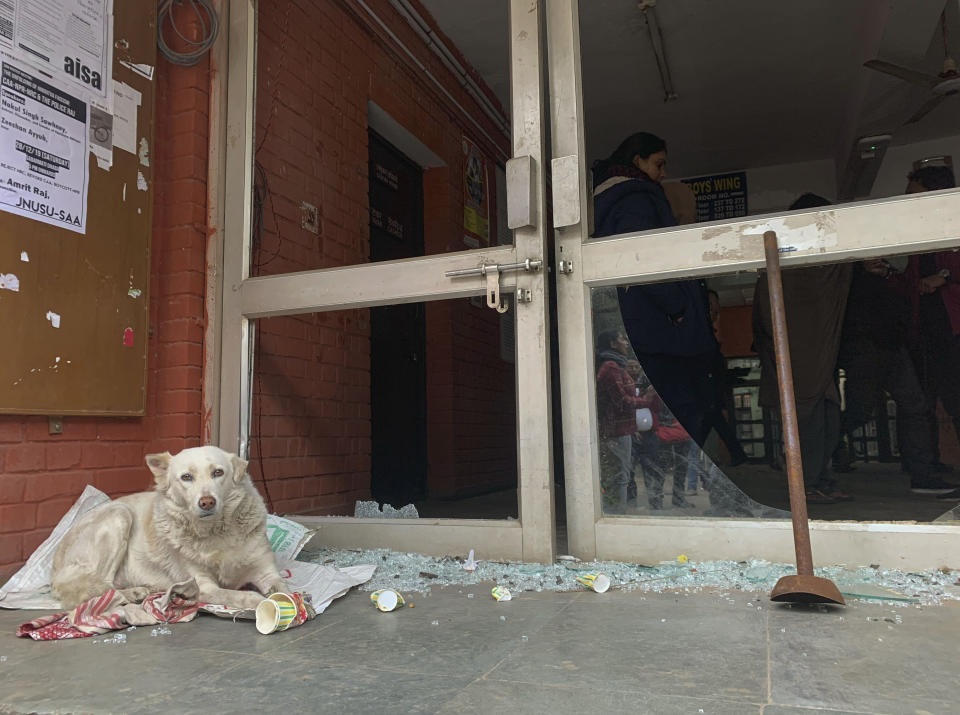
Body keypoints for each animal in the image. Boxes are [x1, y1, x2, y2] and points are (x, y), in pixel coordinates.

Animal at [50, 448, 286, 608]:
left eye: (218, 473)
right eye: (186, 477)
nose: (207, 502)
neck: (215, 532)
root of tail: (54, 567)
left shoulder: (267, 573)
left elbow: (284, 588)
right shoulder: (203, 586)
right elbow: (238, 595)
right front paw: (260, 601)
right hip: (119, 514)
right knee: (93, 590)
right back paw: (134, 594)